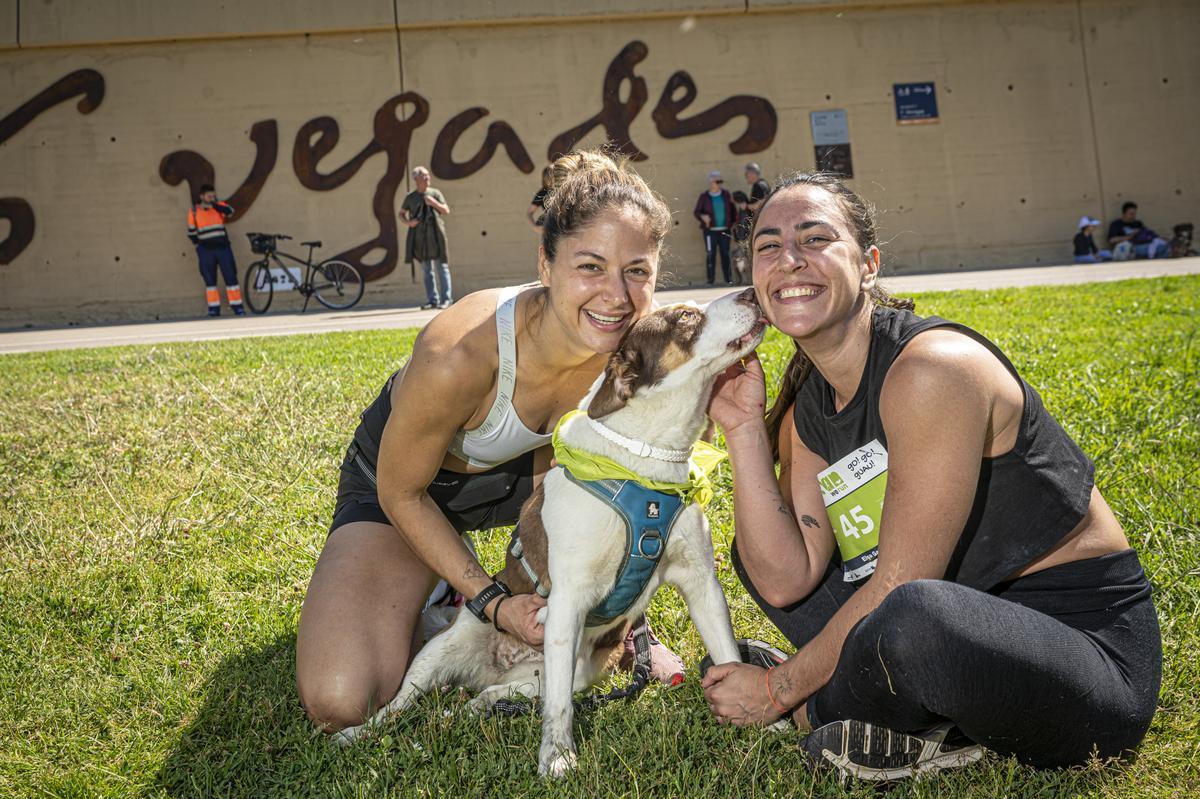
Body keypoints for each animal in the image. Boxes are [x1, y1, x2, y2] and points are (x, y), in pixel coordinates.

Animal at [336, 289, 768, 772]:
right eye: (686, 316)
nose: (751, 291)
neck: (645, 461)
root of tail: (499, 665)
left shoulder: (701, 583)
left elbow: (728, 654)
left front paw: (761, 719)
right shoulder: (568, 601)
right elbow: (559, 709)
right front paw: (558, 758)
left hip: (565, 672)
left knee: (501, 693)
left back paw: (476, 707)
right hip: (441, 651)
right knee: (400, 701)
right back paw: (357, 732)